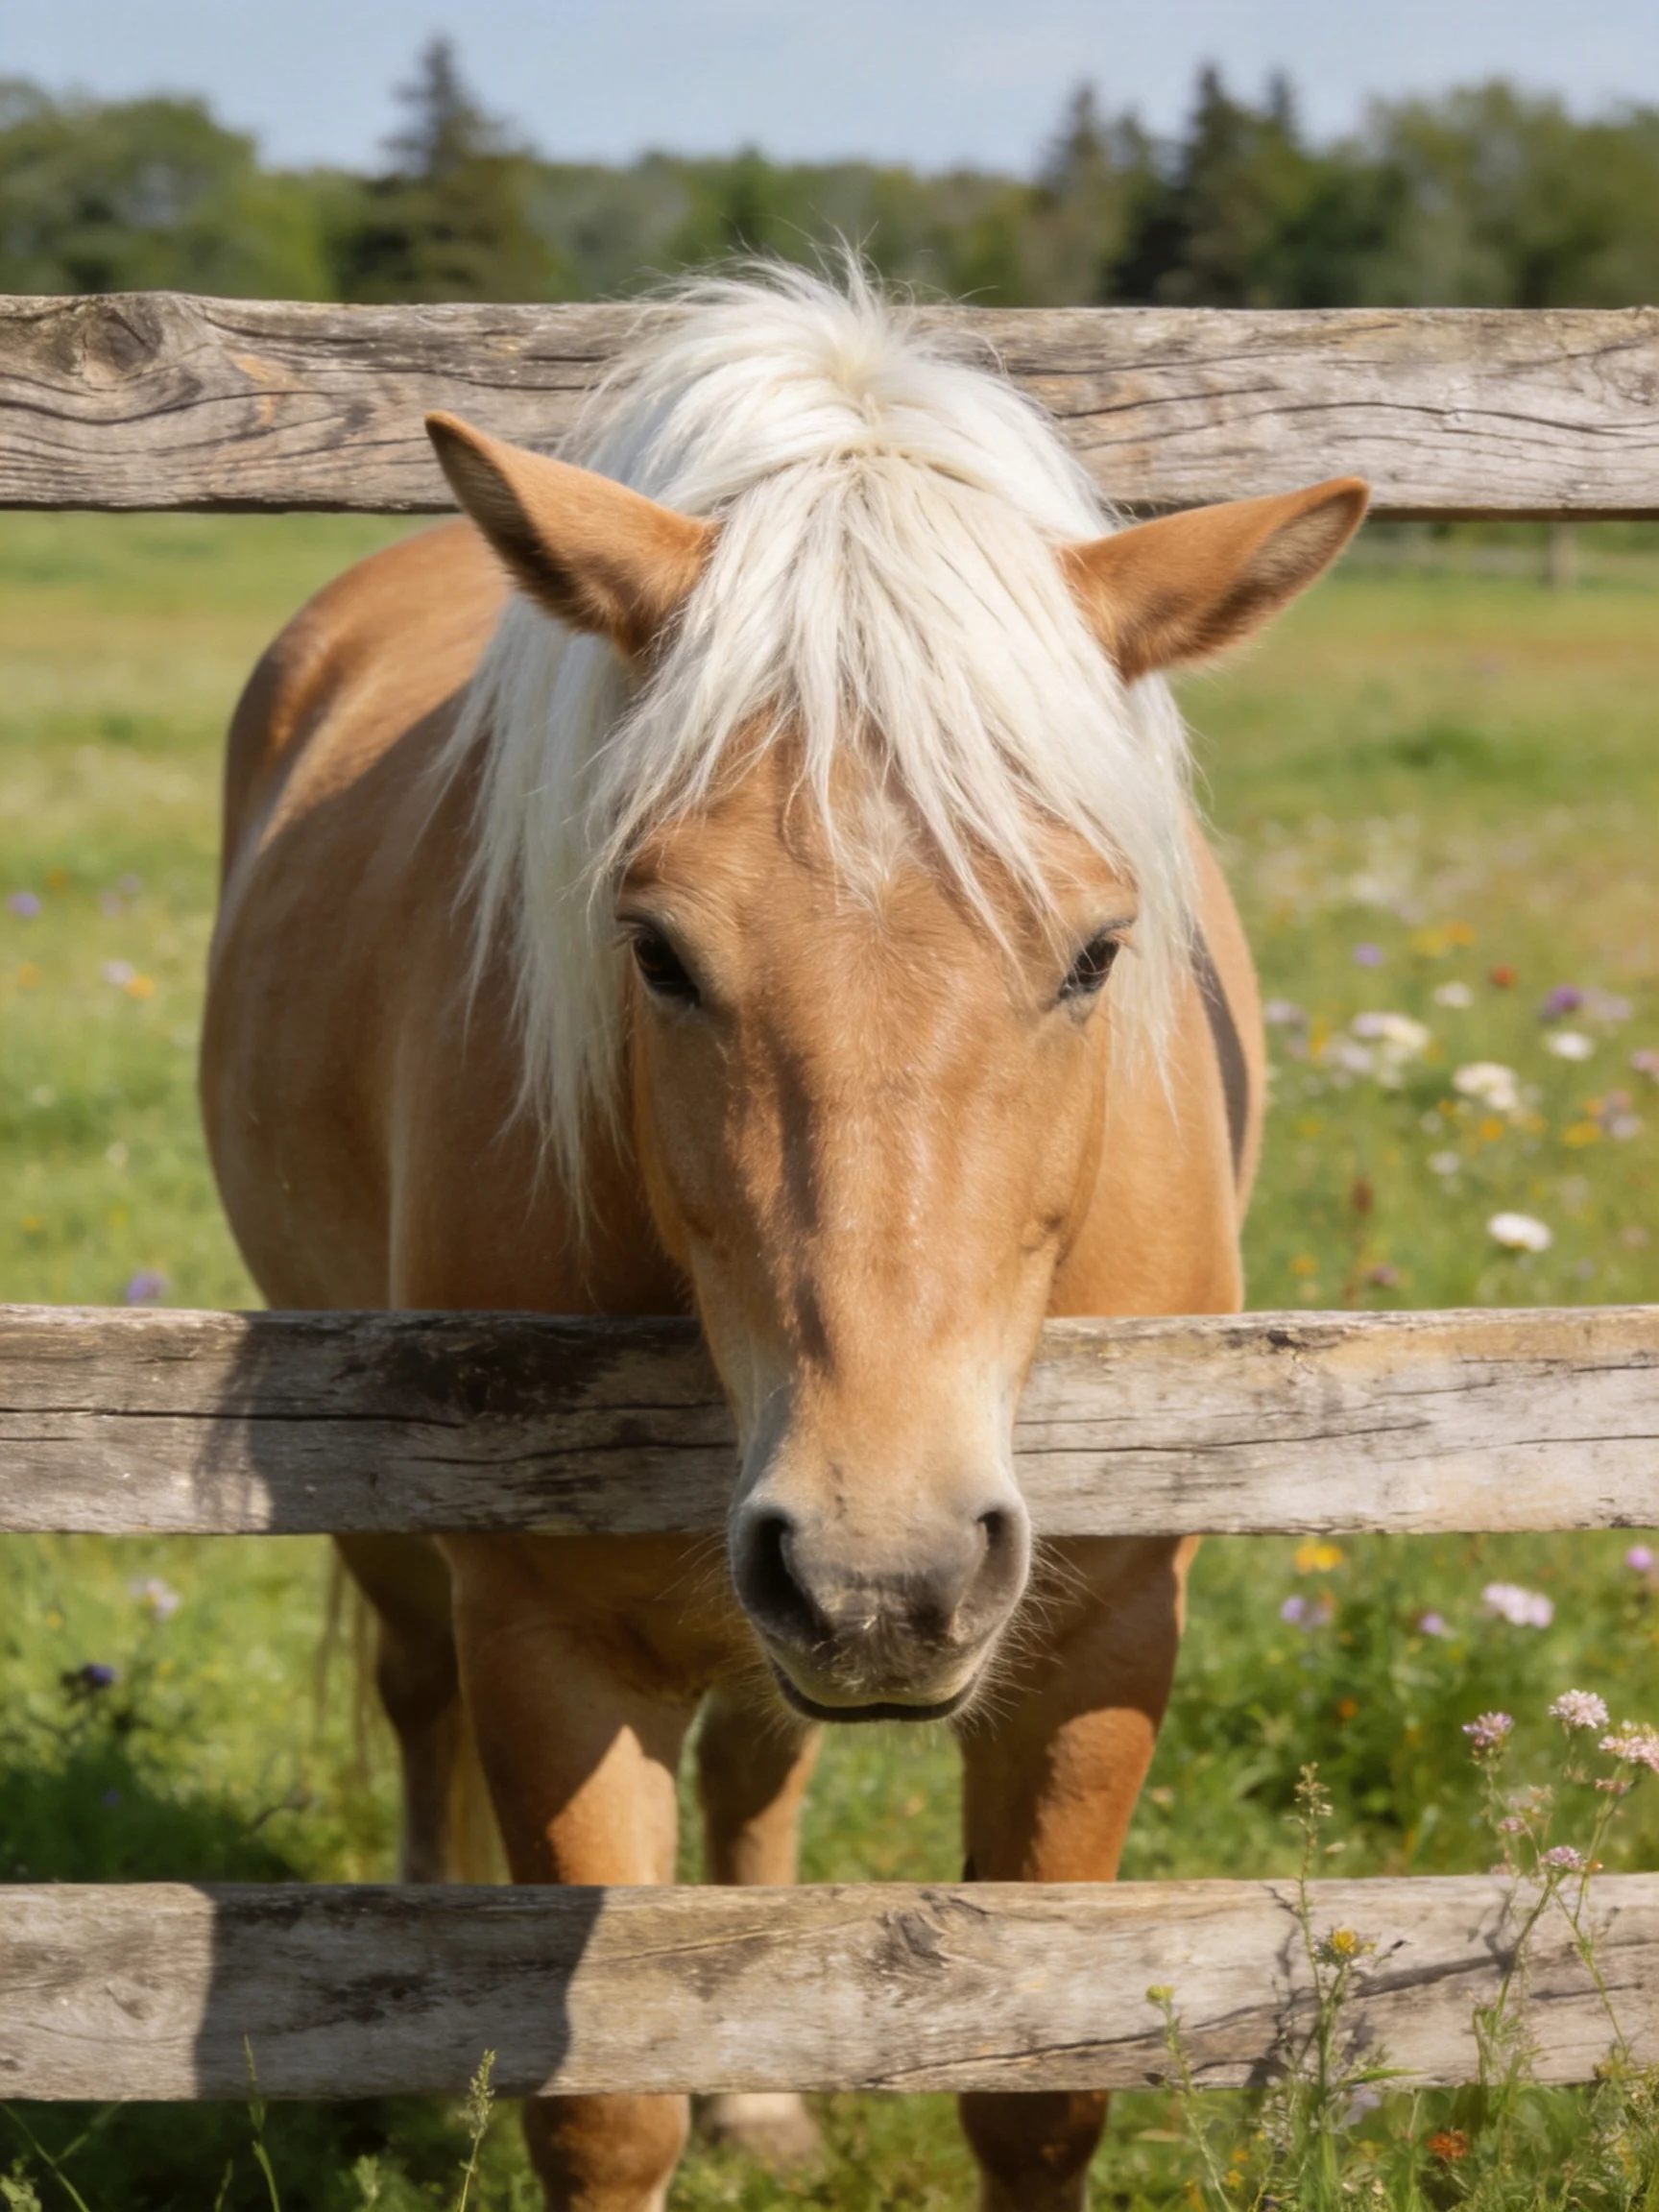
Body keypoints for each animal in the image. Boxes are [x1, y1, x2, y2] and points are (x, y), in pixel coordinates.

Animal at [201, 265, 1366, 2212]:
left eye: (1095, 950)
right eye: (657, 949)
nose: (882, 1571)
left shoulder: (1102, 1632)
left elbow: (1038, 2090)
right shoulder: (551, 1640)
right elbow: (606, 2108)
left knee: (755, 1763)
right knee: (414, 1691)